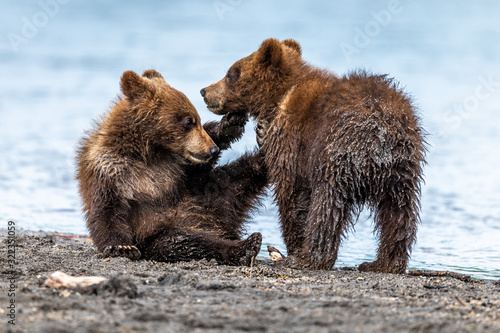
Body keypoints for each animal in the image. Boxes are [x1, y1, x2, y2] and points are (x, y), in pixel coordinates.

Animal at [76, 68, 266, 266]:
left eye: (197, 119)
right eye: (188, 121)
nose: (212, 149)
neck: (148, 152)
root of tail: (224, 226)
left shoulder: (178, 171)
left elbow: (196, 174)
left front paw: (230, 124)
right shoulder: (110, 171)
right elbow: (107, 211)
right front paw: (122, 247)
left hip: (214, 197)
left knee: (239, 175)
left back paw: (263, 147)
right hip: (165, 233)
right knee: (189, 243)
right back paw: (246, 246)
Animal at [201, 39, 428, 272]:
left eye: (231, 73)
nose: (204, 91)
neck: (278, 99)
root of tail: (380, 129)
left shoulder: (293, 140)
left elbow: (292, 191)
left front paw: (294, 245)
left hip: (335, 153)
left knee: (327, 205)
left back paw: (308, 258)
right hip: (402, 168)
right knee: (398, 213)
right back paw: (383, 263)